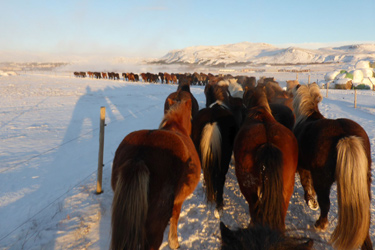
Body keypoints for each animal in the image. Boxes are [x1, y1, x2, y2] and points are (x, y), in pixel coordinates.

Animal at [292, 83, 372, 250]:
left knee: (325, 204)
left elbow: (306, 184)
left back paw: (320, 224)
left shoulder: (303, 168)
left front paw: (311, 202)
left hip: (322, 180)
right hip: (365, 179)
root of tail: (345, 136)